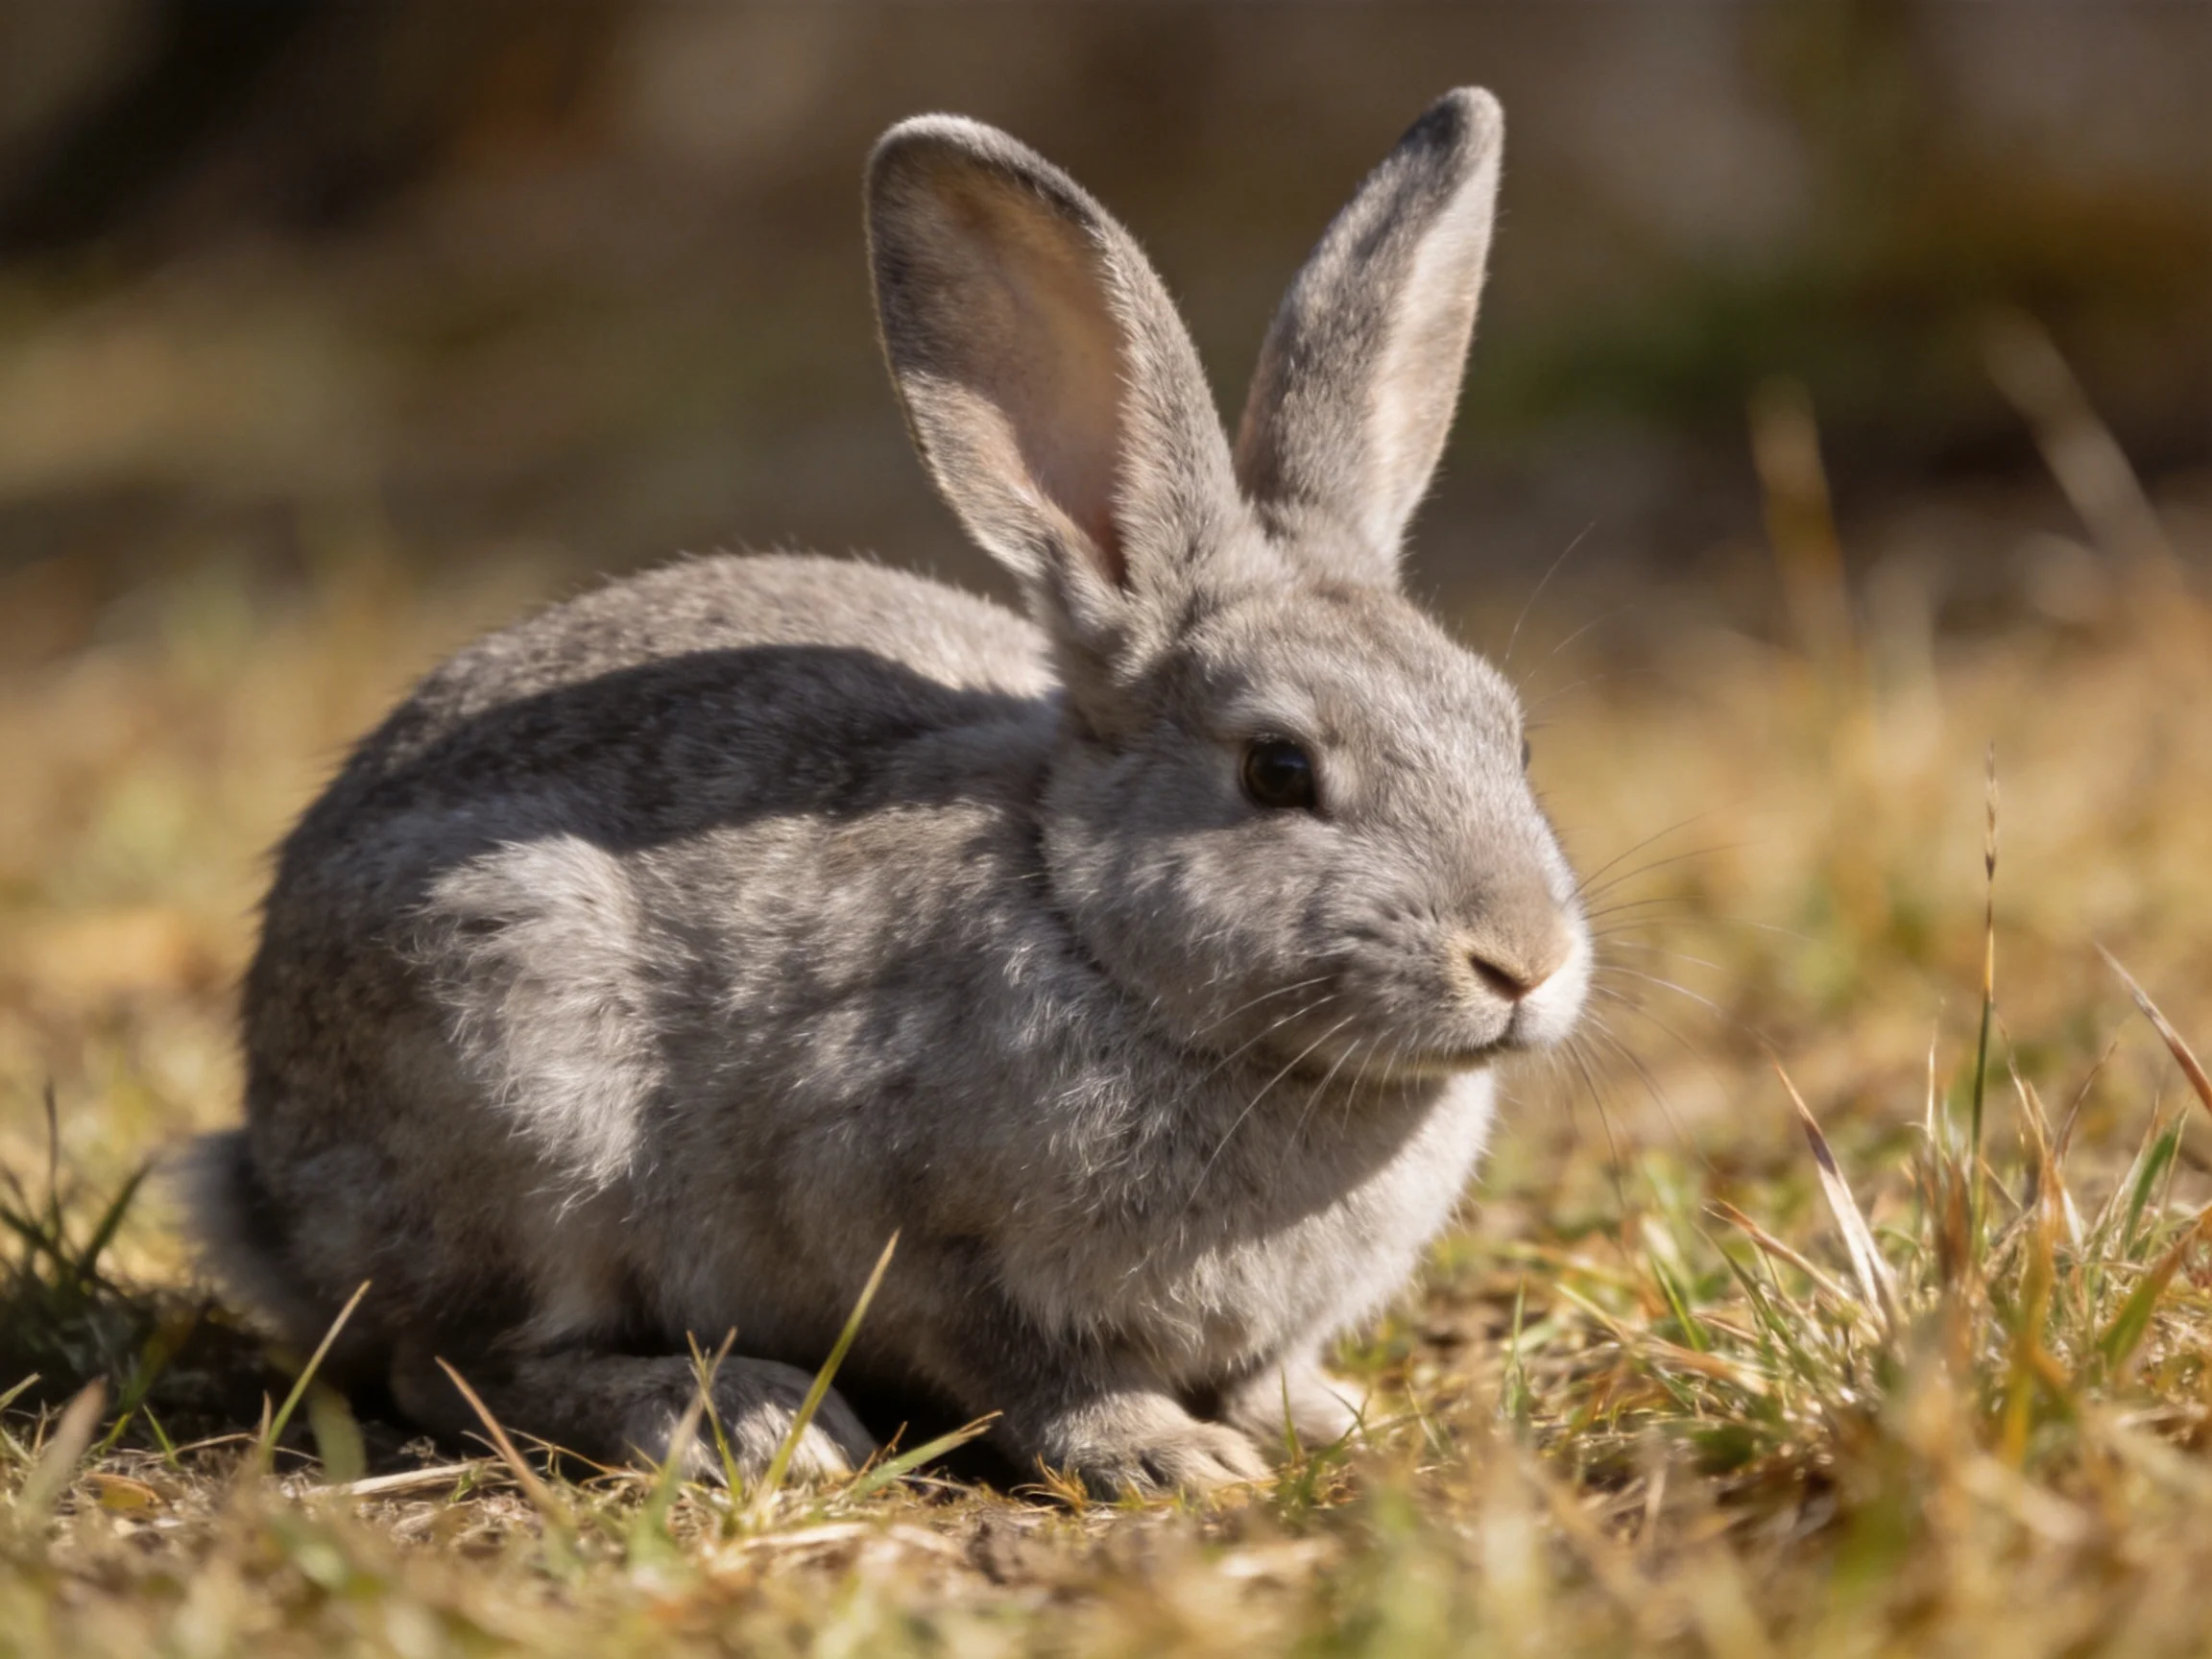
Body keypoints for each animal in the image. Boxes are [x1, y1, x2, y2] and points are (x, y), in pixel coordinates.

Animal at [187, 86, 1592, 1496]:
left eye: (1515, 737)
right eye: (1278, 769)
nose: (1521, 963)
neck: (1092, 934)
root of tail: (266, 1183)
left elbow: (1267, 1371)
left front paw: (1329, 1418)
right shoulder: (924, 1242)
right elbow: (1044, 1375)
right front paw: (1168, 1460)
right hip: (515, 1064)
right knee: (458, 1362)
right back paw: (734, 1415)